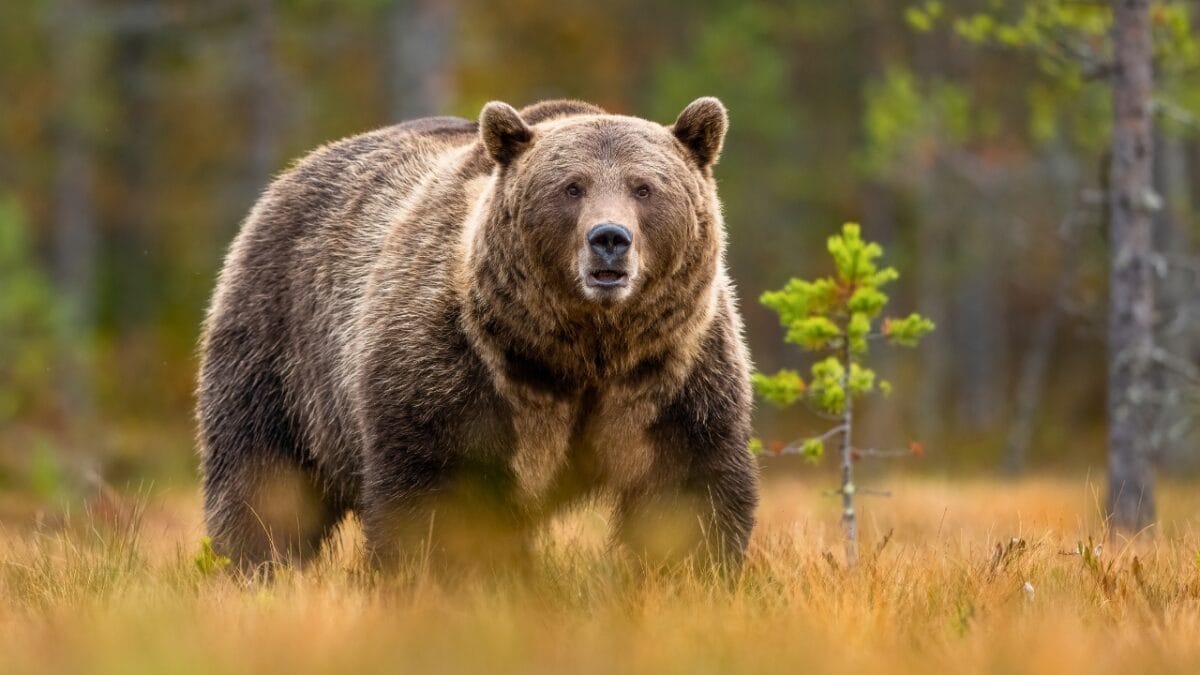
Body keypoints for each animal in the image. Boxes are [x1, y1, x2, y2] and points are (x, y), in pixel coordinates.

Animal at [196, 97, 758, 576]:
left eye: (644, 188)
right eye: (571, 187)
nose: (609, 239)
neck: (580, 351)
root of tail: (291, 174)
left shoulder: (670, 375)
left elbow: (687, 490)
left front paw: (690, 572)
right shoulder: (457, 366)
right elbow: (438, 495)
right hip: (280, 344)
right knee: (264, 477)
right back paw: (253, 565)